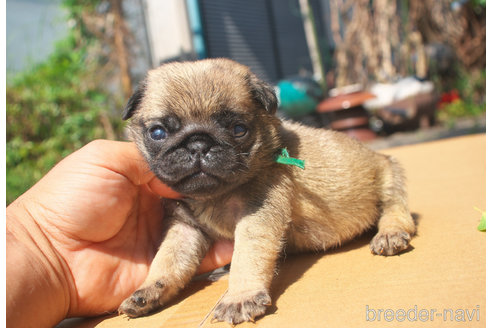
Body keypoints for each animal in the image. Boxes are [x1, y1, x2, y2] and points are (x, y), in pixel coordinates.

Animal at [118, 58, 416, 322]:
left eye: (239, 129)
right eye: (158, 133)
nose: (198, 144)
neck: (215, 195)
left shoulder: (257, 215)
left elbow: (246, 256)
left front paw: (240, 296)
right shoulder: (185, 229)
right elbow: (167, 261)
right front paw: (148, 291)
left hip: (389, 178)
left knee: (396, 210)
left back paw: (389, 234)